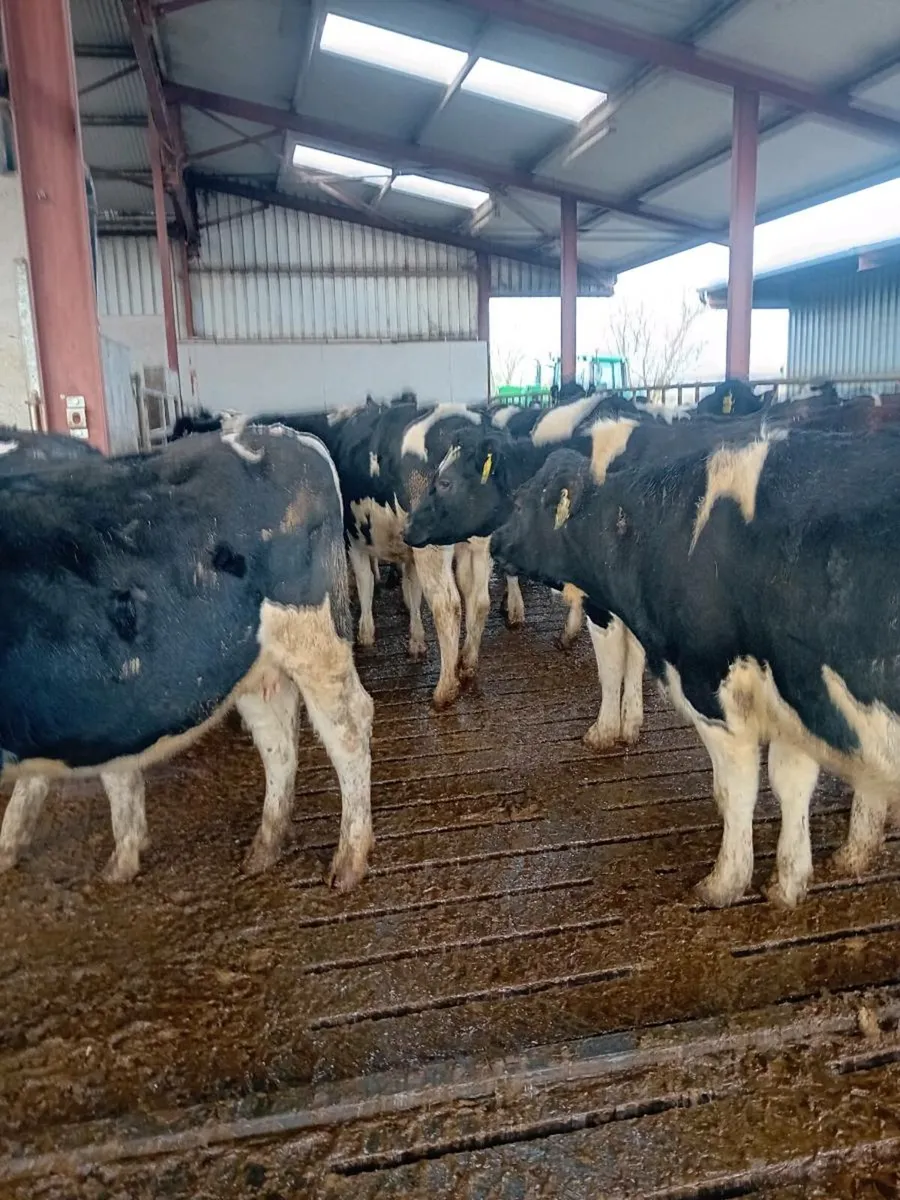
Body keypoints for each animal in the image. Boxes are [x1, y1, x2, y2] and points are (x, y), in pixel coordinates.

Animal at [0, 422, 374, 888]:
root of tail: (282, 434)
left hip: (312, 637)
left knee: (348, 727)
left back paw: (349, 859)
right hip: (252, 662)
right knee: (277, 740)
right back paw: (263, 848)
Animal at [490, 423, 900, 909]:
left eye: (520, 502)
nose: (493, 541)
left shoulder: (711, 689)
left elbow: (735, 791)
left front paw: (725, 881)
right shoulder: (793, 697)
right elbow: (792, 785)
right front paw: (793, 881)